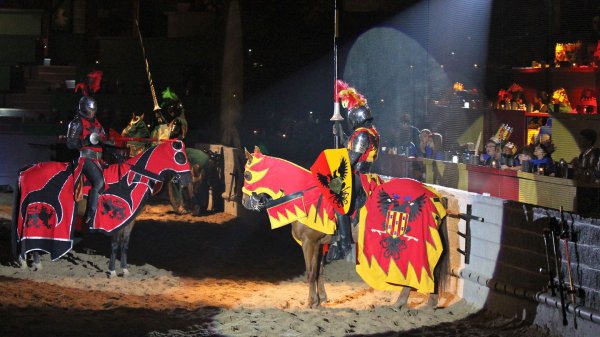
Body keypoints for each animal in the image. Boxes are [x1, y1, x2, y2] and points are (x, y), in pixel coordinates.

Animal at [11, 139, 192, 276]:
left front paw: (124, 270)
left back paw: (35, 263)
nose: (187, 180)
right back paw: (34, 263)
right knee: (29, 234)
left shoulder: (129, 220)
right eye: (180, 157)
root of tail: (26, 170)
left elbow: (125, 244)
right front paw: (112, 271)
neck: (130, 179)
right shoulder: (115, 220)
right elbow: (115, 244)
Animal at [241, 147, 448, 308]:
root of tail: (434, 196)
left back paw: (401, 302)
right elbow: (319, 271)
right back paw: (428, 302)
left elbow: (310, 272)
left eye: (247, 175)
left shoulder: (309, 243)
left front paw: (311, 302)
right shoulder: (321, 244)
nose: (245, 203)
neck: (304, 197)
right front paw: (321, 299)